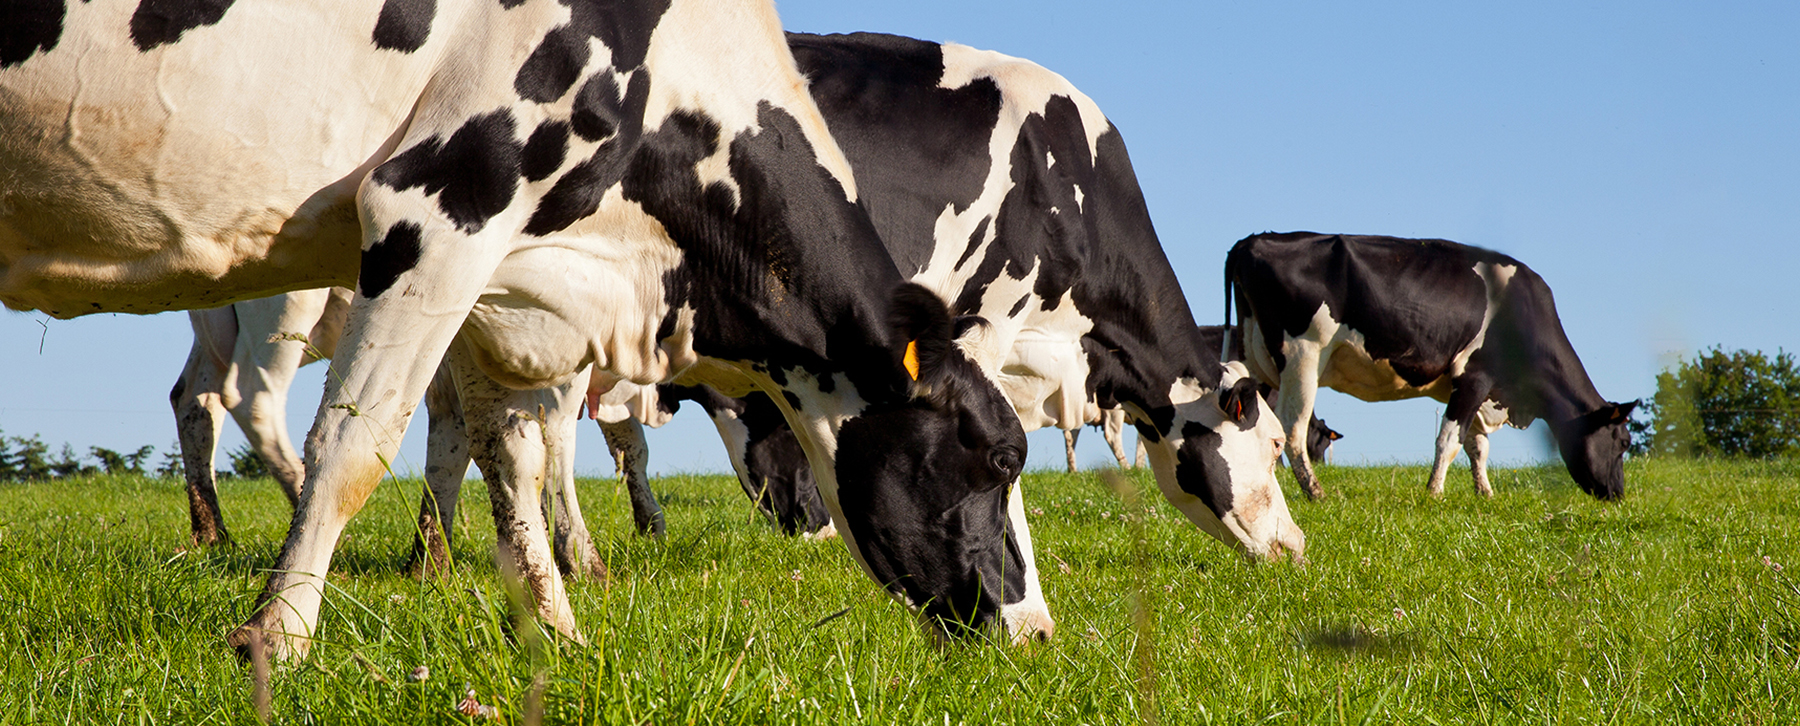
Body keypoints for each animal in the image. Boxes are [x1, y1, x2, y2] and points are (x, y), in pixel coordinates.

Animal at [3, 0, 1047, 658]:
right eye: (1000, 457)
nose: (1038, 633)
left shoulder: (501, 278)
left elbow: (507, 452)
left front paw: (552, 628)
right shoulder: (440, 204)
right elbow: (357, 445)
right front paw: (278, 638)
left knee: (196, 396)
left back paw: (214, 533)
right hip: (281, 305)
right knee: (256, 405)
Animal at [1225, 232, 1637, 500]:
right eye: (1623, 442)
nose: (1617, 495)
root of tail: (1252, 241)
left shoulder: (1477, 389)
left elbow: (1477, 445)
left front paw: (1484, 493)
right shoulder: (1475, 376)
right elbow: (1450, 440)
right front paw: (1434, 493)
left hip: (1252, 360)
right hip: (1303, 355)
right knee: (1293, 430)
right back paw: (1316, 493)